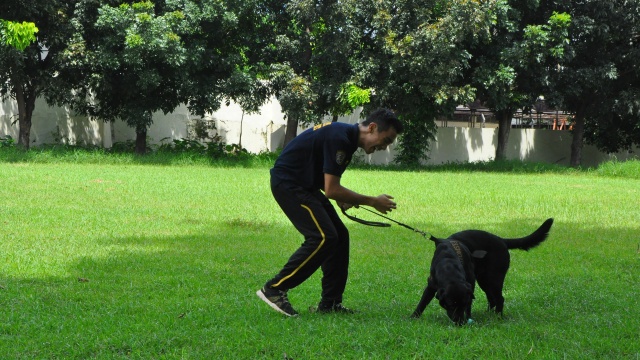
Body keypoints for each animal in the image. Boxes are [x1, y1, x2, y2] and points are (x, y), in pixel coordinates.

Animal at [412, 218, 552, 324]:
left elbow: (470, 304)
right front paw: (413, 318)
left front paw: (468, 317)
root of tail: (502, 240)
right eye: (451, 304)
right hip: (484, 280)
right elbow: (422, 303)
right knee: (492, 298)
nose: (460, 323)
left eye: (462, 304)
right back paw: (488, 314)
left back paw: (498, 317)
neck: (449, 263)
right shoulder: (431, 285)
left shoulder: (470, 284)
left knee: (499, 299)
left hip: (494, 278)